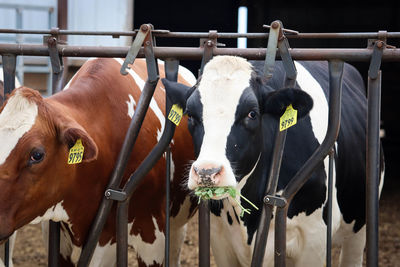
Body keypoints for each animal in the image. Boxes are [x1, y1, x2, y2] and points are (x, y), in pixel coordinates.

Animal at [162, 55, 384, 266]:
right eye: (190, 115)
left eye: (252, 113)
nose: (207, 172)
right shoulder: (220, 238)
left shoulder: (314, 239)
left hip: (359, 222)